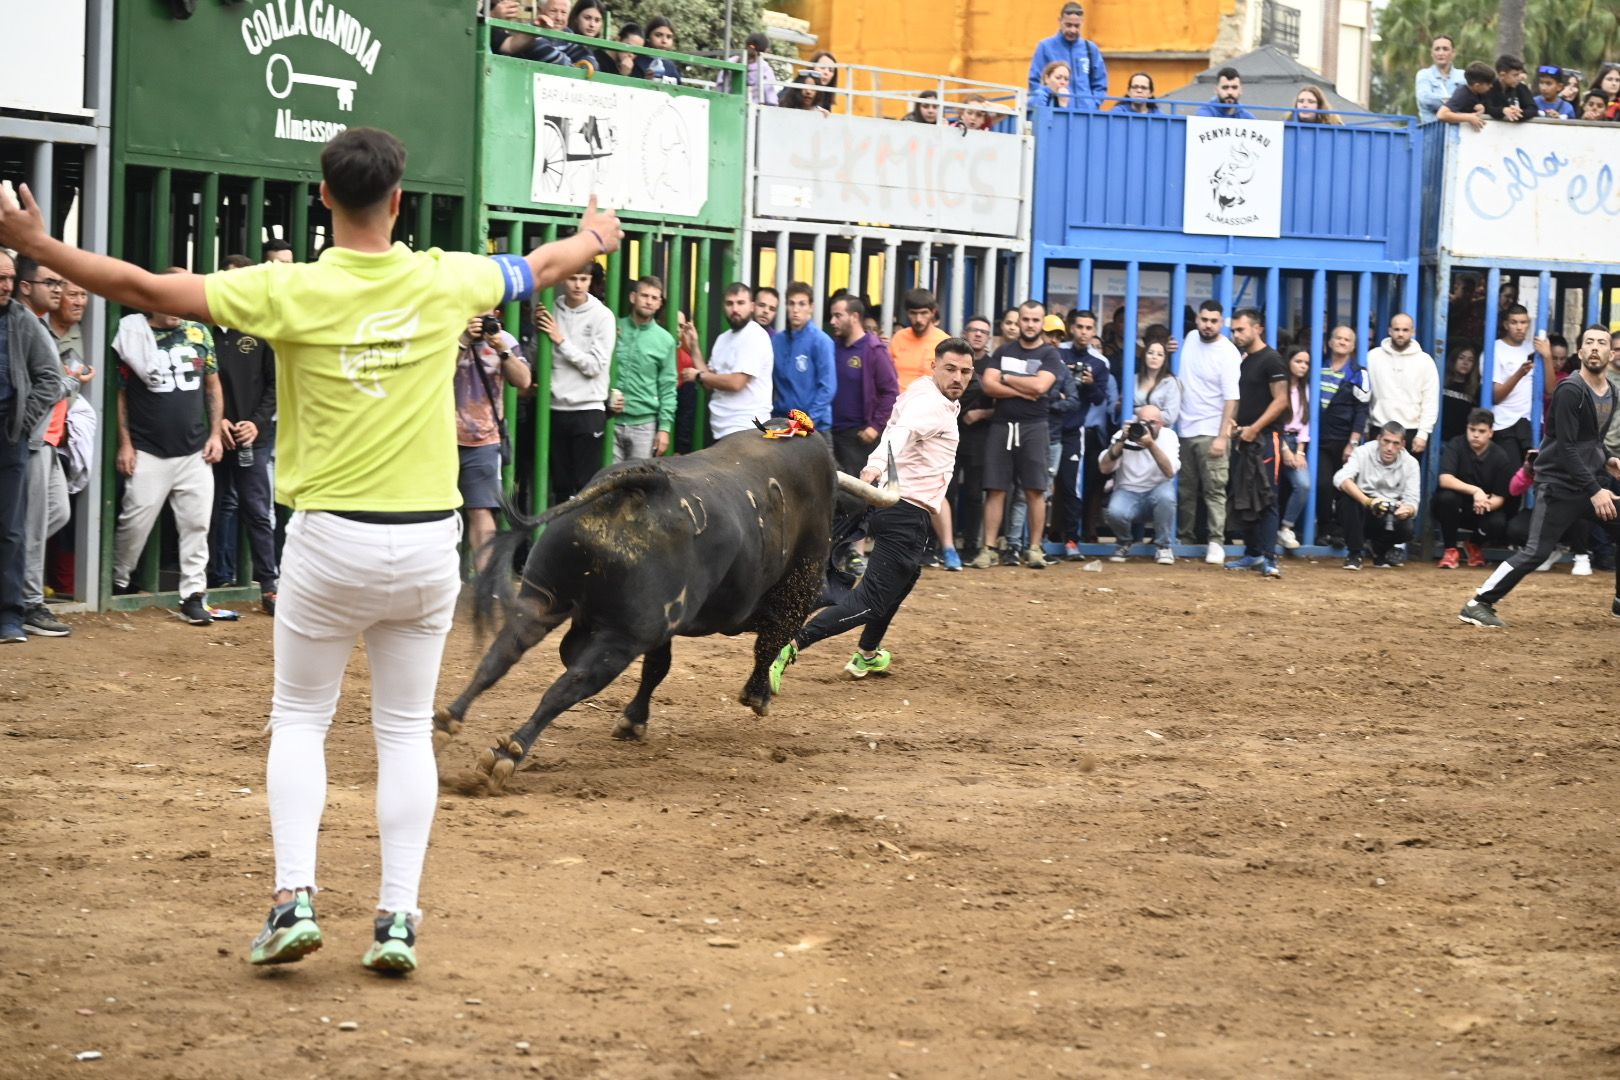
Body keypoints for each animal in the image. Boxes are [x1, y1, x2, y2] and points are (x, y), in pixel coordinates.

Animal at [430, 430, 900, 793]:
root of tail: (640, 483)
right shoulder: (794, 595)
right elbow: (768, 645)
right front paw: (758, 695)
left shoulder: (657, 629)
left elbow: (657, 668)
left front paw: (633, 721)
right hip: (620, 637)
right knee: (569, 685)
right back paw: (506, 753)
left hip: (542, 599)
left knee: (501, 656)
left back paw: (448, 722)